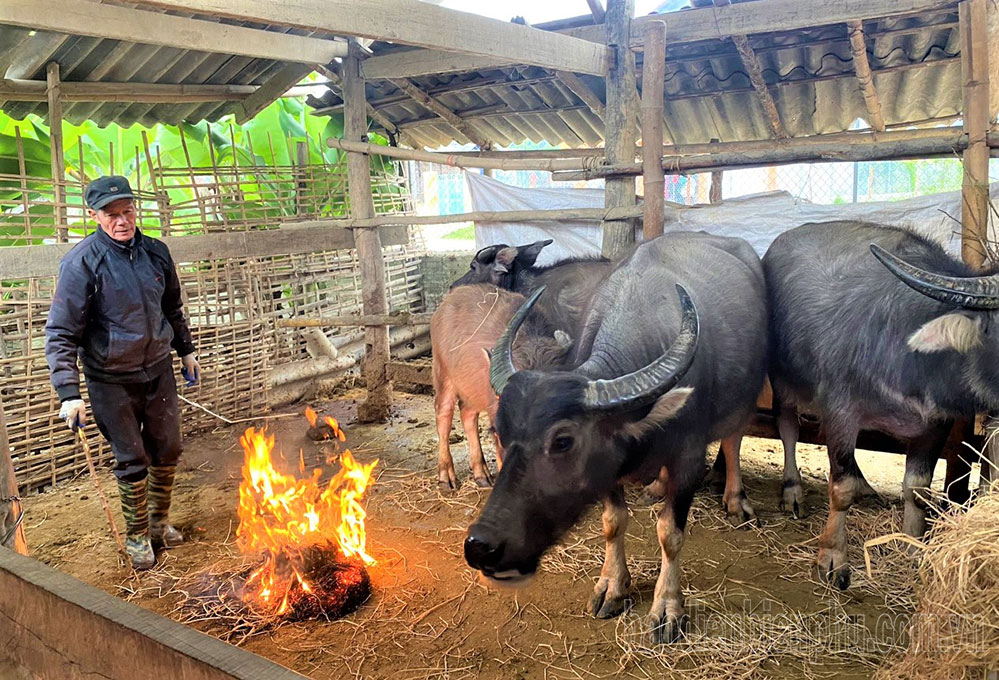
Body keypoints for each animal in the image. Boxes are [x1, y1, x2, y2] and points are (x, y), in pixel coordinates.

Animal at [430, 284, 572, 492]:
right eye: (499, 431)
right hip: (443, 375)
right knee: (444, 415)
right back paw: (446, 476)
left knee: (467, 414)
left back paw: (481, 474)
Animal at [460, 232, 764, 644]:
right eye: (500, 433)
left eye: (563, 441)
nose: (481, 546)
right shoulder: (608, 468)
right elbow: (613, 521)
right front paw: (612, 587)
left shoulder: (689, 458)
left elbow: (670, 533)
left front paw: (668, 607)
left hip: (746, 398)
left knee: (733, 440)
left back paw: (735, 499)